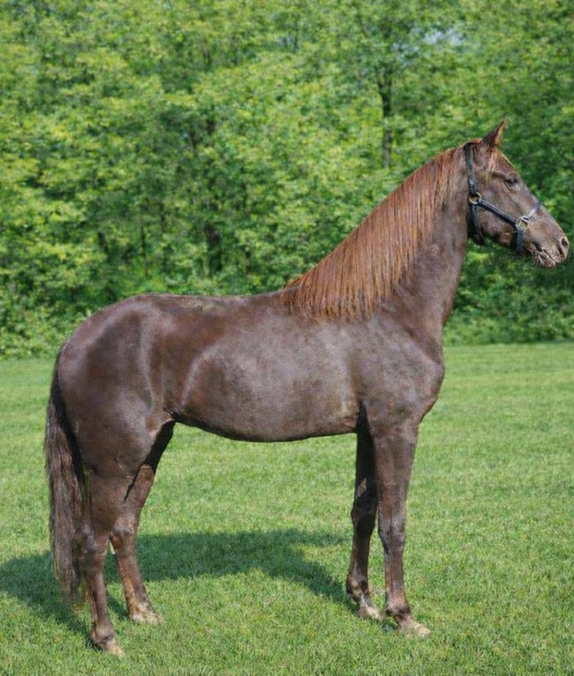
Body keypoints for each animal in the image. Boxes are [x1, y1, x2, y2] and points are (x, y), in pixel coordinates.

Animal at [44, 121, 569, 655]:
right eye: (510, 178)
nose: (560, 244)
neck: (388, 308)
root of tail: (75, 338)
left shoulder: (368, 433)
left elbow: (363, 512)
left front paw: (363, 602)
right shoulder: (397, 430)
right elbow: (394, 522)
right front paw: (402, 615)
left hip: (151, 449)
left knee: (125, 528)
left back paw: (144, 613)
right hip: (112, 462)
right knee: (91, 540)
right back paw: (107, 637)